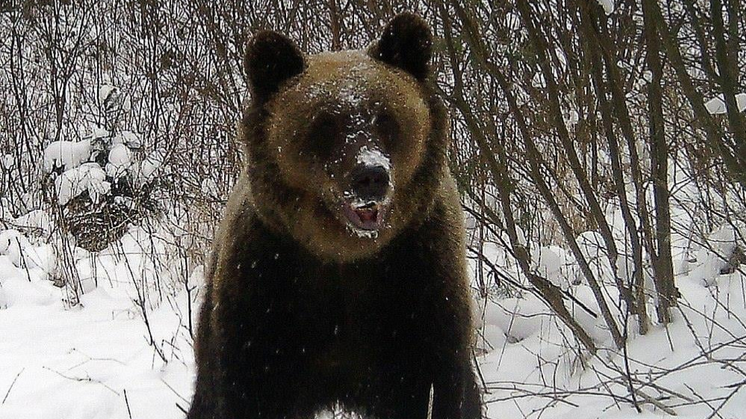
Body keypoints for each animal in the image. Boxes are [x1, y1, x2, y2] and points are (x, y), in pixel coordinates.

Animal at [186, 13, 482, 419]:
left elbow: (442, 385)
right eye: (324, 123)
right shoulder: (264, 299)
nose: (370, 175)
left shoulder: (419, 289)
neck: (343, 254)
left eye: (385, 117)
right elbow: (246, 388)